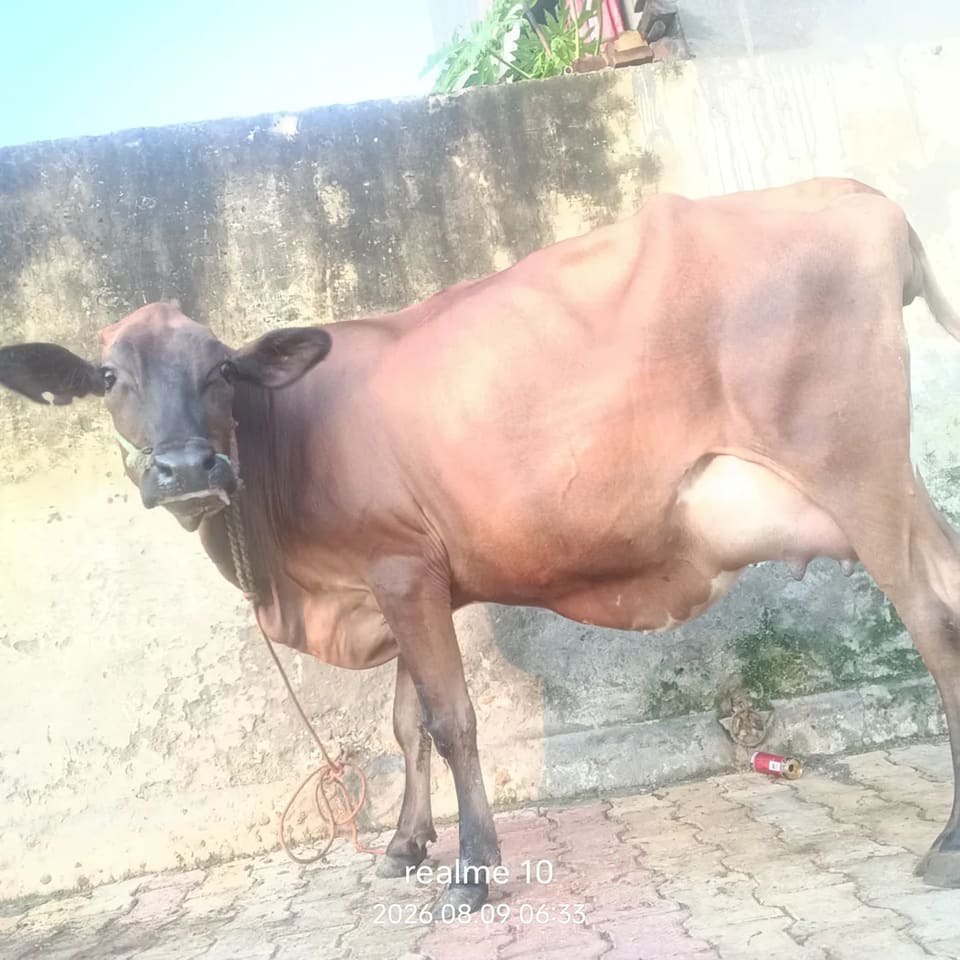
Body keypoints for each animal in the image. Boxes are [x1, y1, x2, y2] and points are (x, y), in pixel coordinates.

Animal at [2, 177, 959, 917]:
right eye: (110, 377)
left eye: (220, 371)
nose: (187, 467)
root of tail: (856, 196)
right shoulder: (395, 578)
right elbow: (406, 723)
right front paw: (403, 844)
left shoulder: (401, 569)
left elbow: (453, 720)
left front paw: (471, 868)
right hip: (898, 490)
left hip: (858, 475)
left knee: (934, 625)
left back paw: (947, 843)